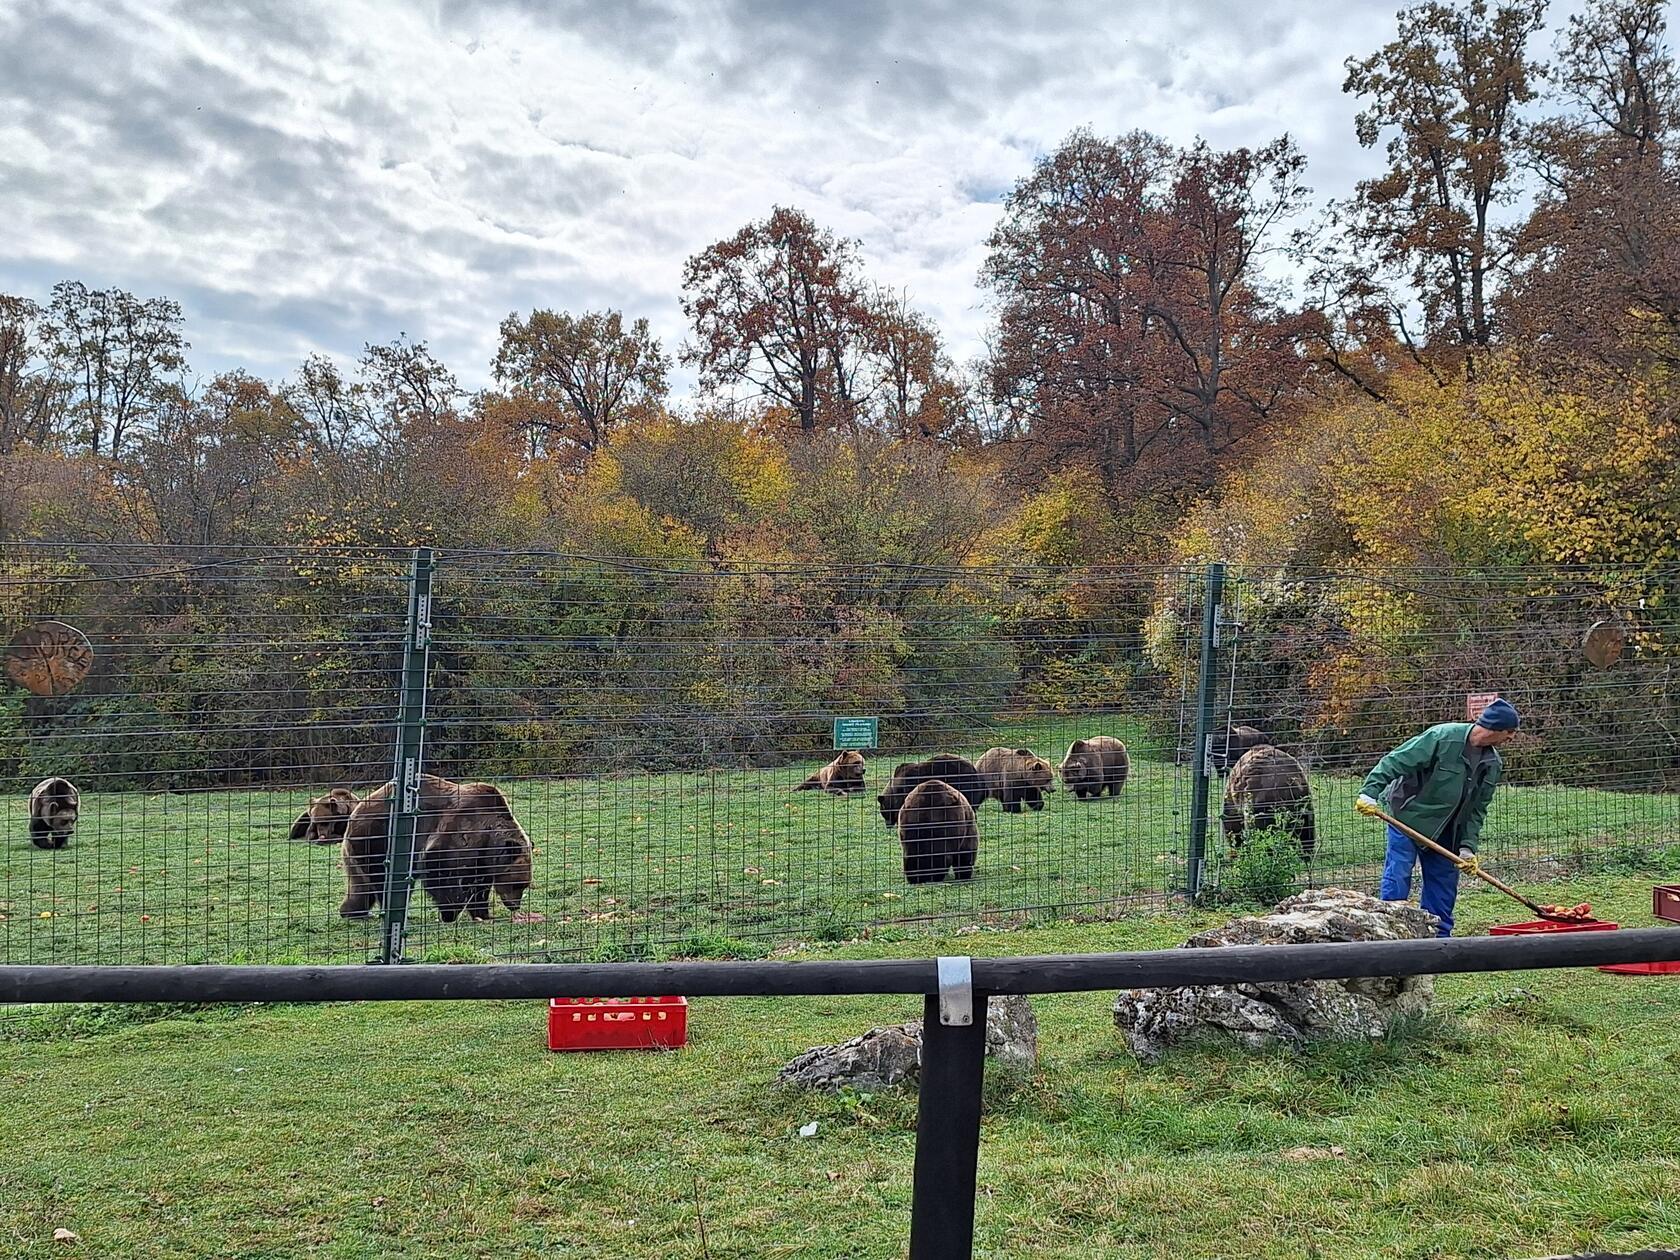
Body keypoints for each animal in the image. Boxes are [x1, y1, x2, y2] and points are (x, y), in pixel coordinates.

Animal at [337, 774, 534, 923]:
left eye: (524, 885)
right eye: (517, 884)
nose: (514, 905)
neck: (488, 837)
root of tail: (355, 812)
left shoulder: (482, 858)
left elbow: (479, 886)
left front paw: (483, 914)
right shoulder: (458, 832)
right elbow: (438, 870)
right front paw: (450, 912)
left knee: (361, 885)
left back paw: (353, 912)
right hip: (377, 837)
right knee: (385, 880)